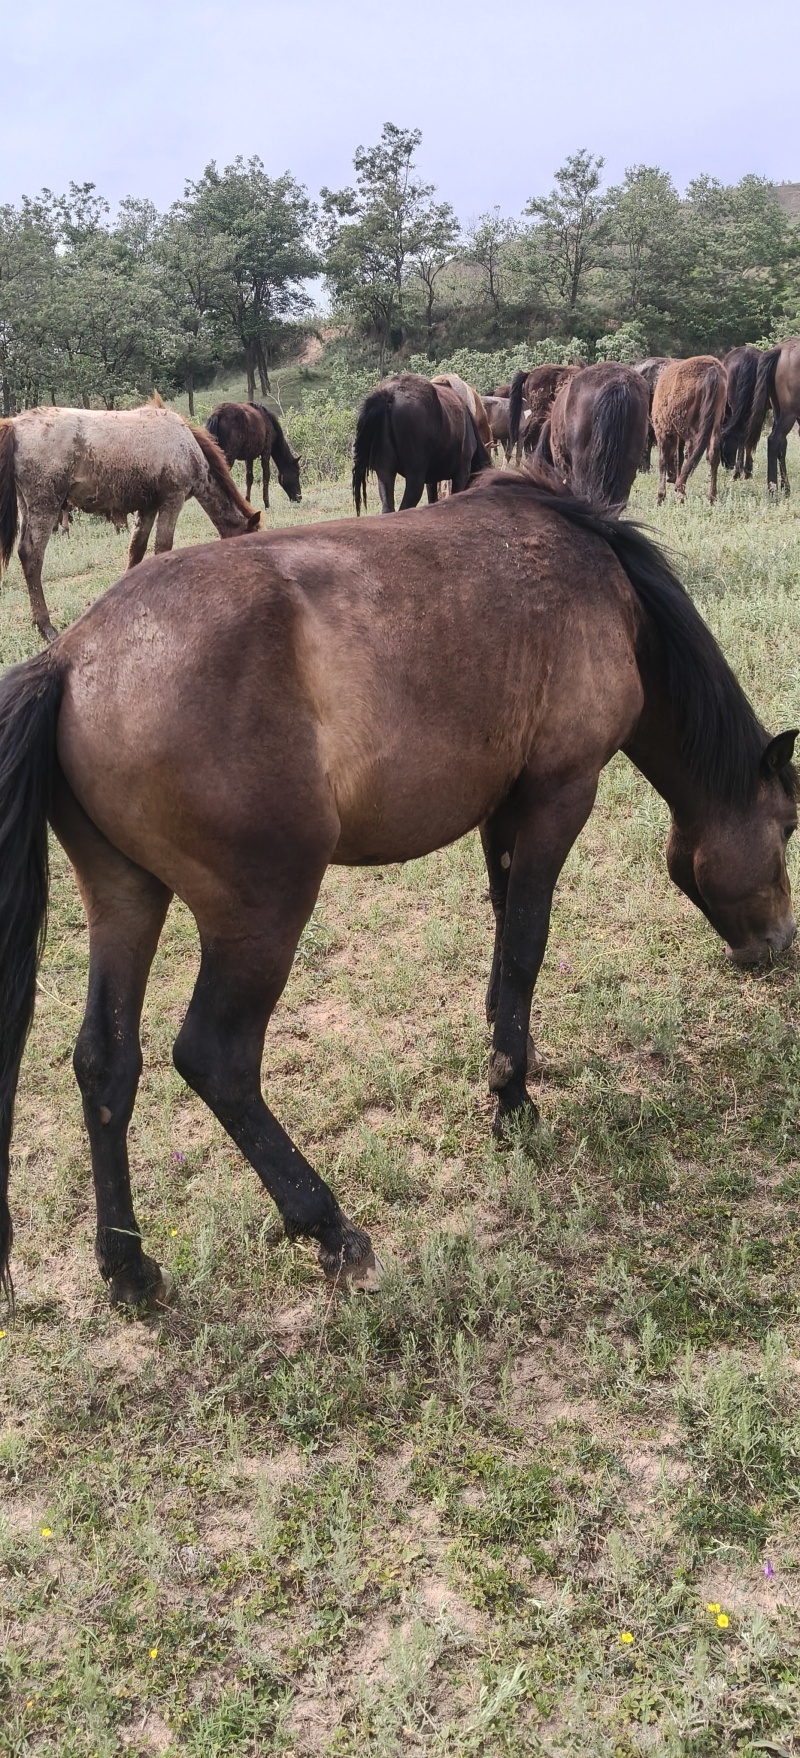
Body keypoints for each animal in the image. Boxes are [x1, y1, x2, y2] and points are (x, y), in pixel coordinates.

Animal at [0, 404, 260, 643]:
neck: (185, 444)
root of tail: (16, 424)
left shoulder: (148, 508)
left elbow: (137, 550)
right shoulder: (172, 500)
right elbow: (162, 548)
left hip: (28, 507)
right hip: (46, 506)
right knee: (32, 556)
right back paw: (46, 626)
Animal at [0, 469, 796, 1311]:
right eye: (787, 826)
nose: (779, 942)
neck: (605, 581)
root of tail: (72, 659)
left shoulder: (502, 808)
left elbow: (502, 931)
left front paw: (505, 1052)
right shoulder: (559, 795)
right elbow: (526, 945)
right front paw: (513, 1100)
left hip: (126, 898)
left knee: (105, 1063)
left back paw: (128, 1266)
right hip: (261, 915)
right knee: (216, 1059)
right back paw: (329, 1227)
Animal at [352, 374, 492, 513]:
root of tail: (389, 395)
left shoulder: (431, 480)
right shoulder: (461, 473)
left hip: (385, 472)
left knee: (388, 508)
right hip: (415, 477)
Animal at [651, 357, 728, 504]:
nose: (671, 478)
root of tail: (712, 370)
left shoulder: (663, 430)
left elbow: (663, 460)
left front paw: (660, 496)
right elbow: (679, 458)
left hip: (688, 427)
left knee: (693, 449)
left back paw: (680, 491)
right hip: (715, 424)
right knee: (713, 454)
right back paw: (711, 497)